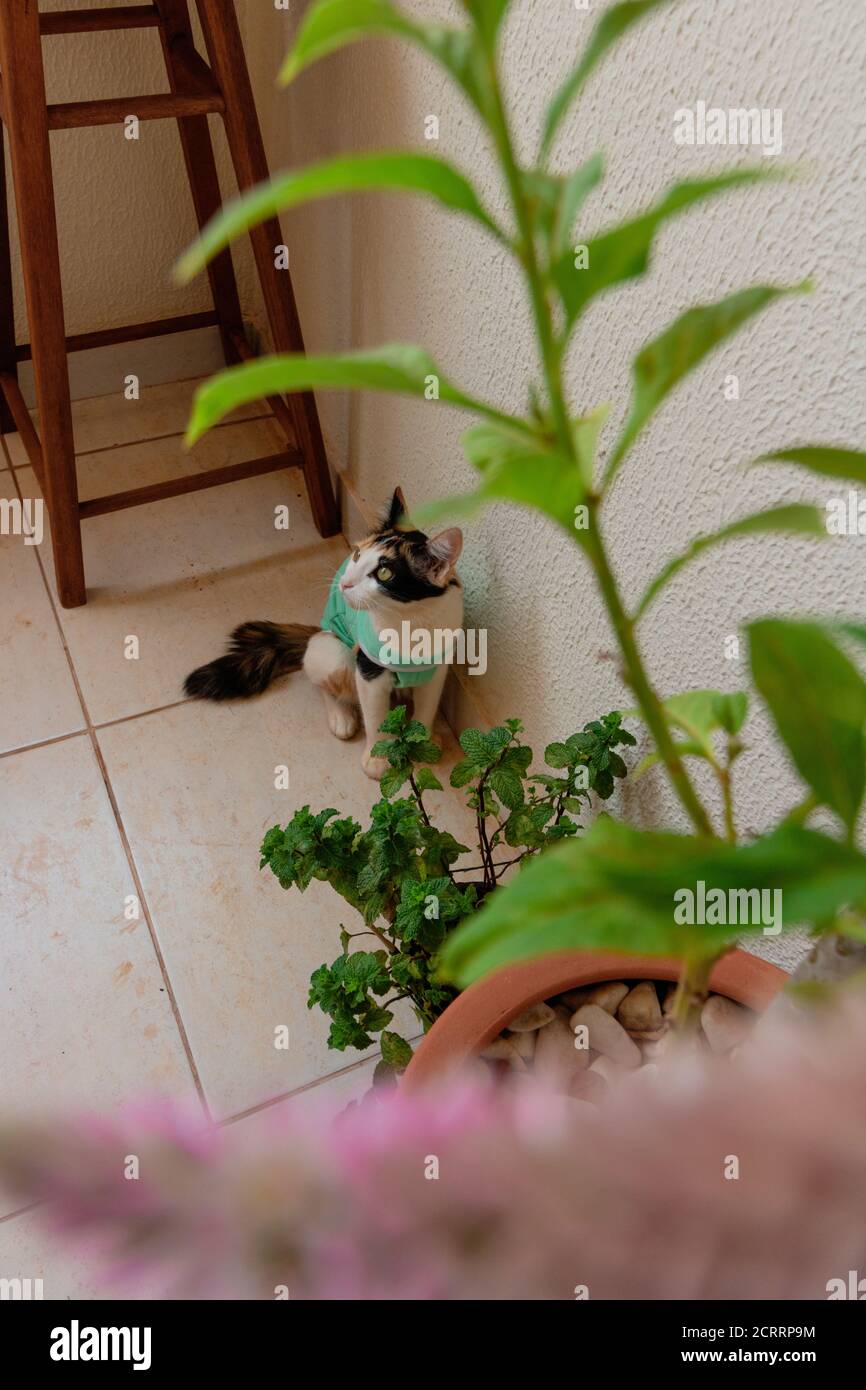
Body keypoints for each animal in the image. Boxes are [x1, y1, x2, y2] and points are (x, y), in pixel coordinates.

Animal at [183, 489, 464, 778]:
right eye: (357, 554)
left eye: (384, 573)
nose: (345, 583)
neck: (411, 621)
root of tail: (317, 631)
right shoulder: (368, 670)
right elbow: (375, 717)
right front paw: (377, 760)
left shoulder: (437, 669)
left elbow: (427, 709)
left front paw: (425, 744)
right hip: (334, 653)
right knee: (325, 685)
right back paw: (342, 717)